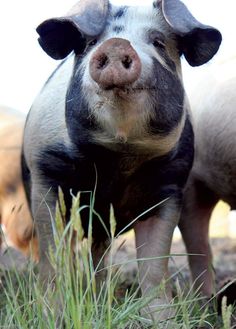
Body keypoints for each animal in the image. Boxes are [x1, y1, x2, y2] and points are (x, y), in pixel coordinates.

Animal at [22, 0, 221, 320]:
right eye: (89, 44)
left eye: (158, 42)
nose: (116, 45)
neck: (119, 157)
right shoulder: (46, 175)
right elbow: (54, 254)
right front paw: (52, 315)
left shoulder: (171, 185)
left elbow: (154, 262)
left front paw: (160, 319)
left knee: (100, 255)